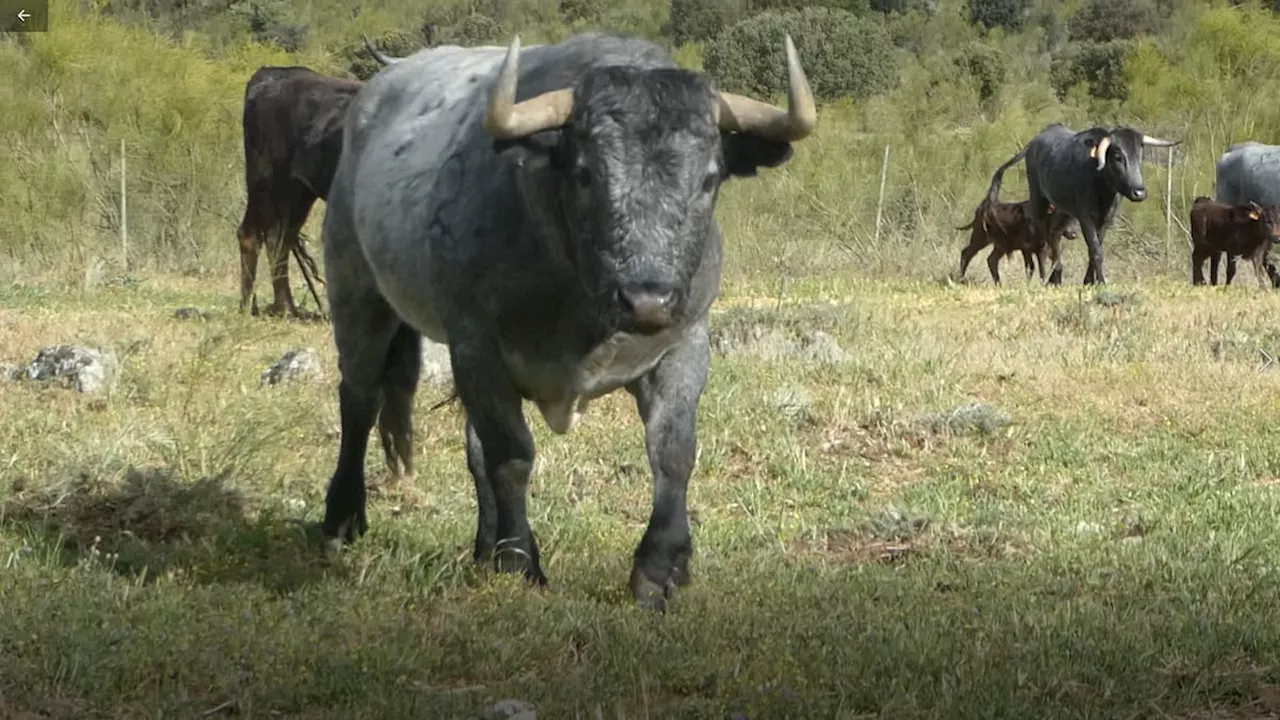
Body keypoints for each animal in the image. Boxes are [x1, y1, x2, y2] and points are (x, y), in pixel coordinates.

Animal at [234, 65, 363, 316]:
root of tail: (271, 73)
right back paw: (249, 306)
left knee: (279, 239)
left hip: (297, 192)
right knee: (252, 235)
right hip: (264, 183)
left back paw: (286, 307)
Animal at [320, 30, 819, 607]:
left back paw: (483, 546)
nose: (647, 299)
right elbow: (511, 456)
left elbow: (673, 451)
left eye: (708, 178)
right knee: (358, 400)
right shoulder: (478, 345)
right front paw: (519, 560)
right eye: (585, 174)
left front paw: (660, 566)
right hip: (357, 292)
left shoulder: (685, 342)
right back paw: (343, 518)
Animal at [988, 122, 1177, 283]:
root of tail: (1034, 142)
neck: (1101, 186)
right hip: (1038, 201)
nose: (1139, 192)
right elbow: (1096, 251)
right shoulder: (1086, 218)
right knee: (1042, 242)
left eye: (1140, 156)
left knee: (1053, 238)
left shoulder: (1105, 220)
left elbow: (1094, 249)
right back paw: (1045, 277)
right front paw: (1101, 282)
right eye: (1117, 156)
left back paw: (1056, 276)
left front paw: (1089, 281)